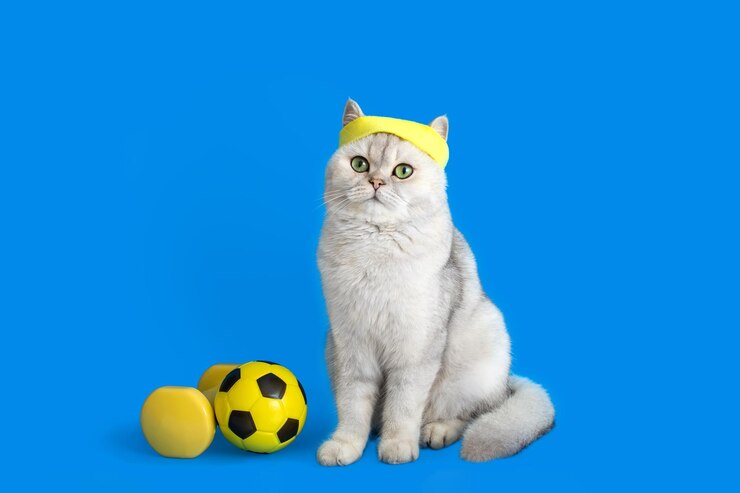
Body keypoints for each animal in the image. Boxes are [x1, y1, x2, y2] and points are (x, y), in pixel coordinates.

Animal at [316, 100, 552, 466]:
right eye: (359, 165)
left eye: (402, 172)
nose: (376, 182)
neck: (374, 245)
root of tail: (506, 384)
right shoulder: (350, 345)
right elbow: (352, 405)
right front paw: (346, 445)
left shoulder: (415, 348)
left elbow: (403, 405)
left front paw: (397, 445)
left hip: (478, 350)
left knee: (469, 413)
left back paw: (435, 432)